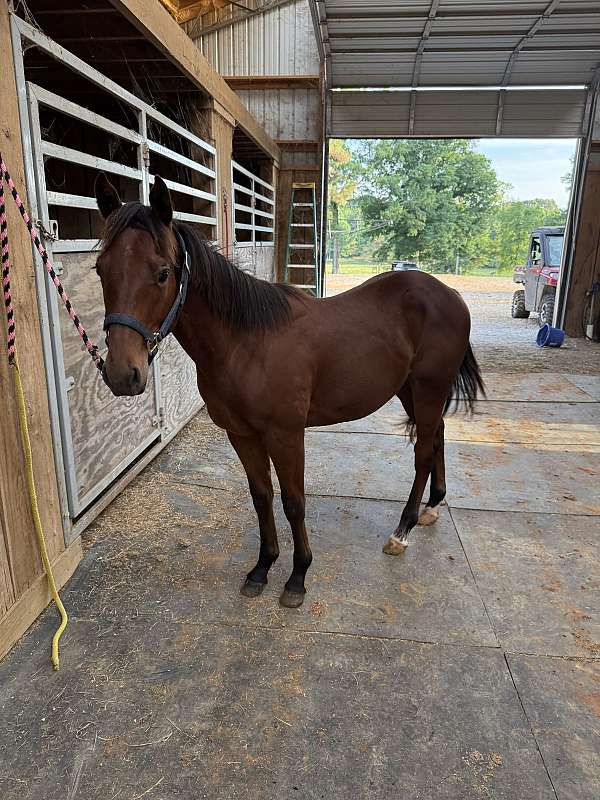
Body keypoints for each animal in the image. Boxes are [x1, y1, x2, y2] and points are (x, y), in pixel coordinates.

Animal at [94, 173, 485, 609]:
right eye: (100, 270)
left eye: (162, 273)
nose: (122, 374)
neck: (246, 342)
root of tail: (449, 295)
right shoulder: (242, 434)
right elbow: (262, 496)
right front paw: (262, 567)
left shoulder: (286, 435)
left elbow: (294, 503)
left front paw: (298, 576)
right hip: (409, 390)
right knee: (437, 437)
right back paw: (433, 506)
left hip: (429, 387)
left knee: (422, 453)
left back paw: (402, 531)